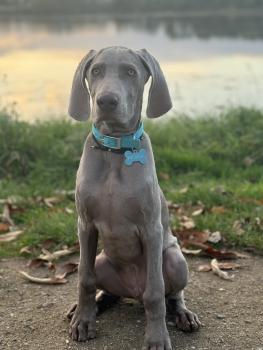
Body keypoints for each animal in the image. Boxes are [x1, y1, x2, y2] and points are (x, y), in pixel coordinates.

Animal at [67, 47, 201, 350]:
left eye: (130, 72)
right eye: (96, 71)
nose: (106, 101)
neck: (116, 150)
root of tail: (133, 292)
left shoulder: (151, 229)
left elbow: (156, 292)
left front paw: (156, 337)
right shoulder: (85, 225)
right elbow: (84, 278)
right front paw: (83, 320)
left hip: (175, 259)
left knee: (171, 294)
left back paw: (183, 314)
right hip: (102, 260)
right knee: (107, 289)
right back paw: (96, 305)